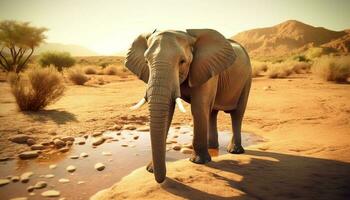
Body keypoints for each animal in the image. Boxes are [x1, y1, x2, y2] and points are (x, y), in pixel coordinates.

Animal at [126, 28, 252, 183]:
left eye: (182, 61)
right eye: (146, 61)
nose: (161, 179)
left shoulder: (204, 67)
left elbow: (198, 108)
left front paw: (198, 162)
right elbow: (168, 111)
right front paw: (151, 169)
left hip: (247, 78)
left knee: (237, 114)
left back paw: (234, 151)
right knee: (212, 112)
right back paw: (212, 146)